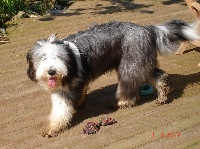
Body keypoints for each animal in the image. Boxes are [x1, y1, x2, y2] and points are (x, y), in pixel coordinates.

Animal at [26, 19, 200, 137]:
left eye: (58, 57)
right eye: (42, 58)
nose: (51, 71)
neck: (69, 59)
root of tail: (146, 29)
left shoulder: (66, 90)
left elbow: (60, 110)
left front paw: (53, 128)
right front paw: (80, 102)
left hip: (129, 65)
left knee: (130, 88)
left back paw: (122, 102)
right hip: (140, 62)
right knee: (159, 76)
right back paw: (162, 96)